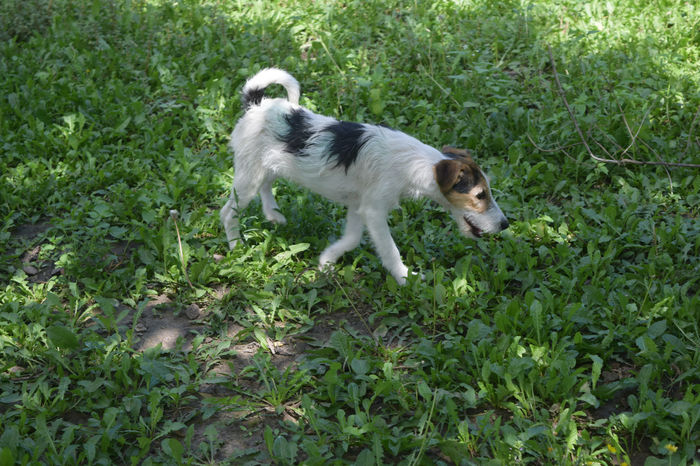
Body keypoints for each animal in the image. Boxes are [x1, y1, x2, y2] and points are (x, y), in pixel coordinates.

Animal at [220, 68, 508, 284]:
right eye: (480, 195)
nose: (505, 225)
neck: (415, 164)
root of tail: (256, 104)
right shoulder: (374, 211)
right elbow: (390, 250)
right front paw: (406, 278)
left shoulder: (359, 207)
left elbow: (351, 239)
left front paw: (327, 261)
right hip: (248, 178)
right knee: (228, 212)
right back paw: (236, 246)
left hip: (267, 167)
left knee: (266, 186)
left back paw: (273, 214)